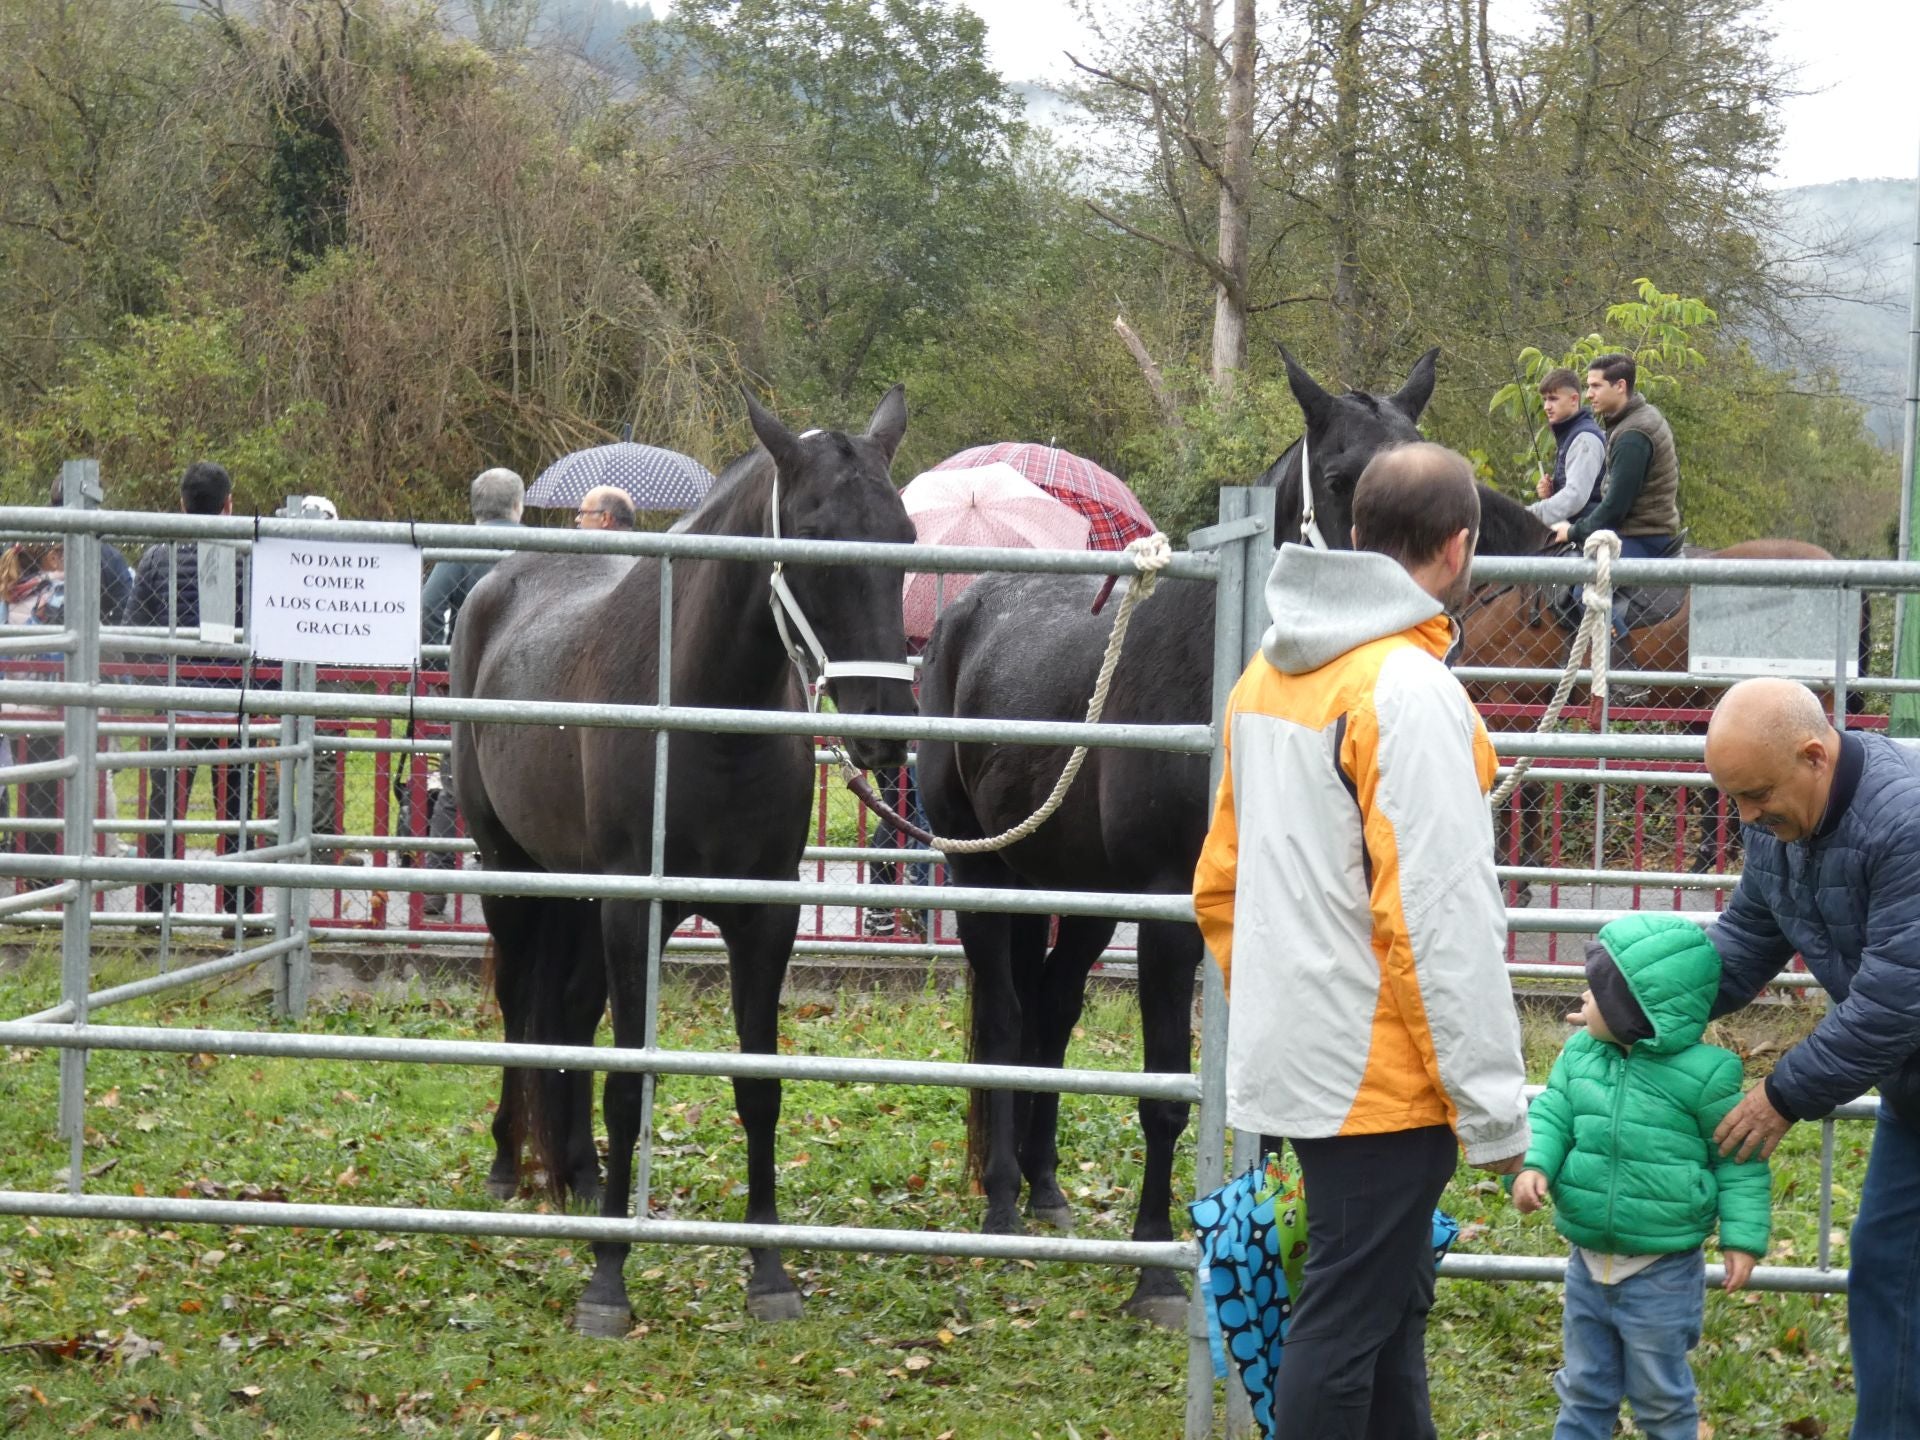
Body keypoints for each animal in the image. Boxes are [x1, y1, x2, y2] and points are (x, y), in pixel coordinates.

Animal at [456, 384, 921, 1328]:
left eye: (906, 538)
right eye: (813, 534)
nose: (885, 728)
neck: (709, 720)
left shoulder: (762, 918)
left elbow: (758, 1089)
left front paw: (769, 1271)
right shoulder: (637, 910)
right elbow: (629, 1087)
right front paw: (607, 1281)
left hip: (579, 896)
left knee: (570, 1012)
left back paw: (578, 1174)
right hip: (514, 879)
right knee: (521, 1009)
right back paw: (508, 1167)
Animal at [921, 347, 1551, 1328]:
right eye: (1339, 477)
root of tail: (967, 610)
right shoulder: (1169, 915)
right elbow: (1164, 1098)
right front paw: (1156, 1270)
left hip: (1076, 891)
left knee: (1051, 1009)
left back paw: (1045, 1188)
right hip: (982, 874)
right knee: (1006, 1014)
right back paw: (999, 1205)